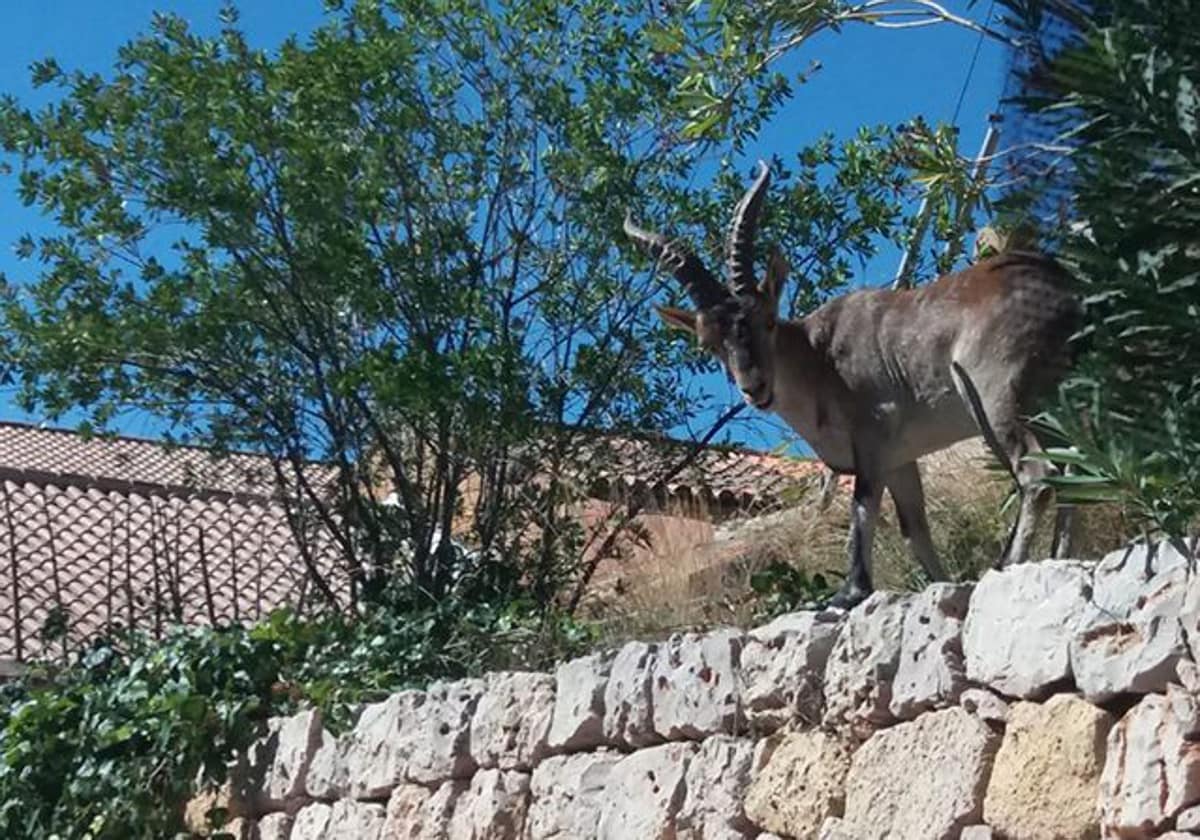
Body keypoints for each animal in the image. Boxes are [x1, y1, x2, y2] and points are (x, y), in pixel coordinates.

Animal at [628, 160, 1080, 607]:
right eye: (710, 344)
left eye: (766, 320)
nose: (754, 388)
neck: (819, 358)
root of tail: (1066, 291)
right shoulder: (900, 459)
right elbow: (914, 530)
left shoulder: (874, 436)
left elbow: (861, 508)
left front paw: (851, 591)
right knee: (1072, 465)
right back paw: (1058, 557)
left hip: (996, 397)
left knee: (1037, 474)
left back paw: (1008, 565)